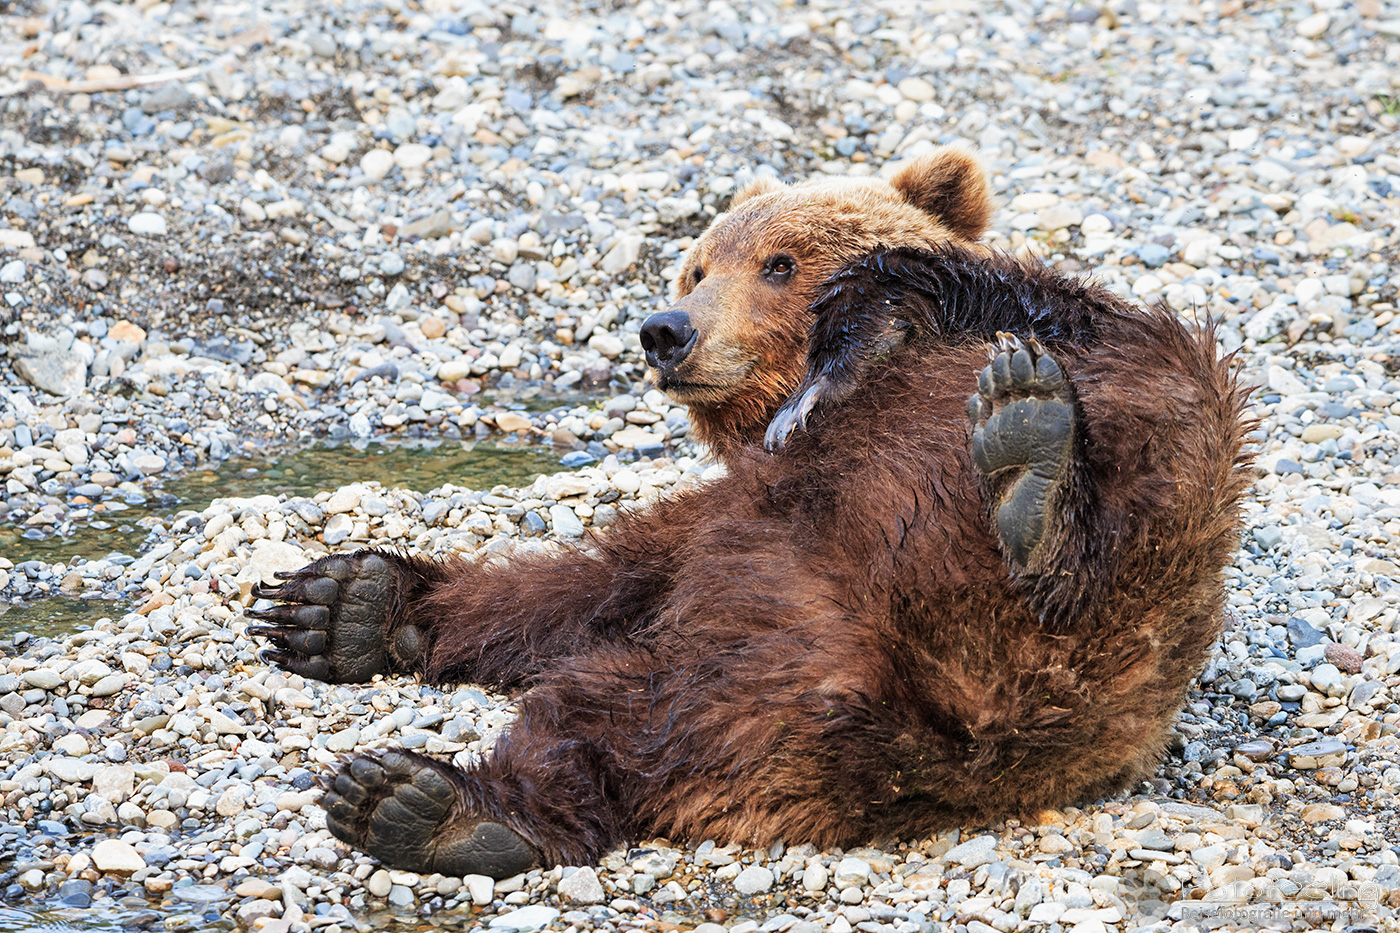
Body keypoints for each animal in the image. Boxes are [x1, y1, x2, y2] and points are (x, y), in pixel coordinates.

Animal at [247, 146, 1251, 880]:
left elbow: (926, 288)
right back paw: (393, 730)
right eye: (694, 265)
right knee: (613, 720)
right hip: (763, 678)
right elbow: (582, 585)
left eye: (779, 261)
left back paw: (1031, 468)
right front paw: (346, 608)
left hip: (1146, 550)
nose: (667, 329)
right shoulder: (732, 517)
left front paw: (851, 351)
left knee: (1127, 527)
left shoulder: (1065, 324)